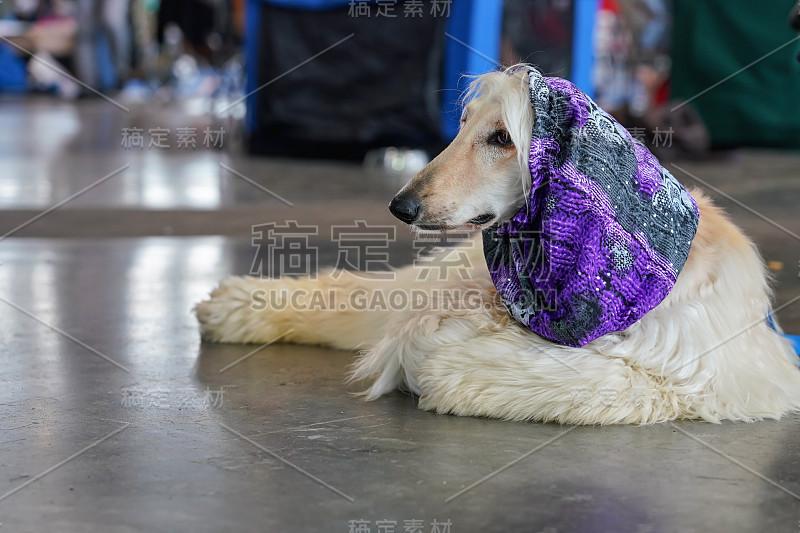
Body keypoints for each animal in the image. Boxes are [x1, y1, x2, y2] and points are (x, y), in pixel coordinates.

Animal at [195, 65, 800, 424]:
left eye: (503, 138)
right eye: (462, 124)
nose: (401, 205)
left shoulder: (697, 373)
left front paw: (435, 362)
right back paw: (234, 307)